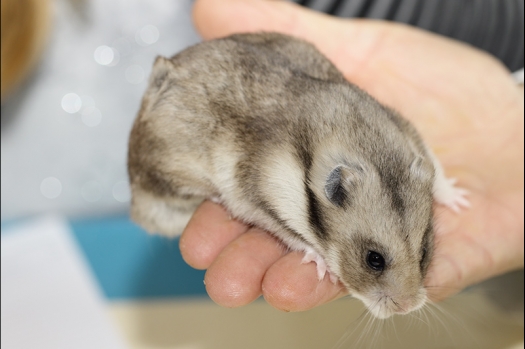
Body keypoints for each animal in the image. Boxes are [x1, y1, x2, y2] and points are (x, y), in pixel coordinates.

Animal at [127, 33, 466, 318]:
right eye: (374, 259)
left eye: (424, 251)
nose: (408, 308)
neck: (367, 146)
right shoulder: (255, 197)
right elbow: (290, 233)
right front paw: (321, 265)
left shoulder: (406, 129)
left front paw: (460, 200)